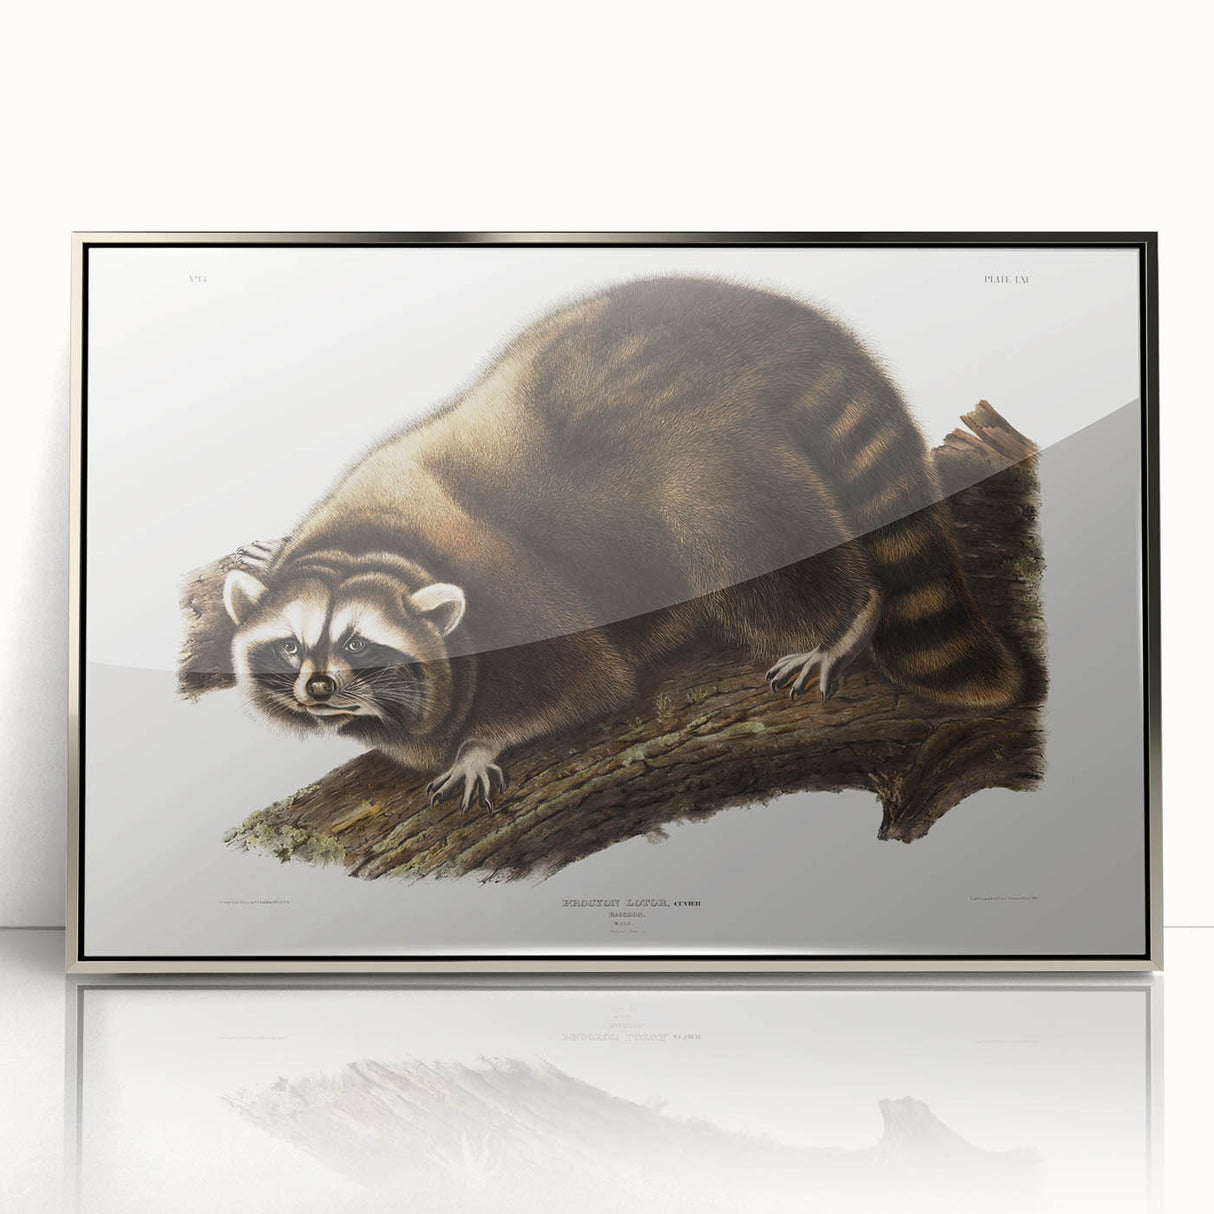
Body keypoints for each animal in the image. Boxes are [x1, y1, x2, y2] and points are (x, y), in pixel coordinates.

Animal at [223, 277, 1021, 811]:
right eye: (292, 645)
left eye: (359, 643)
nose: (319, 690)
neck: (374, 544)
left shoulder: (512, 593)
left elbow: (586, 683)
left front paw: (481, 743)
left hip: (709, 457)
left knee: (745, 543)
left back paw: (844, 619)